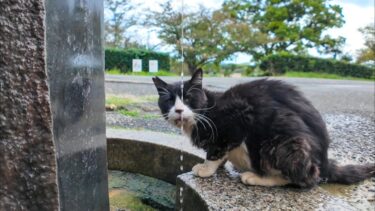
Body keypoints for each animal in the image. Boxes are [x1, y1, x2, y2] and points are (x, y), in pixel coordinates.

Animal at [151, 69, 374, 188]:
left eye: (188, 98)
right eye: (169, 101)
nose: (179, 110)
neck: (207, 110)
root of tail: (325, 161)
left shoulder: (238, 116)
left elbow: (216, 150)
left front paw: (207, 168)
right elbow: (222, 153)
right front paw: (219, 165)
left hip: (284, 138)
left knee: (306, 179)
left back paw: (257, 177)